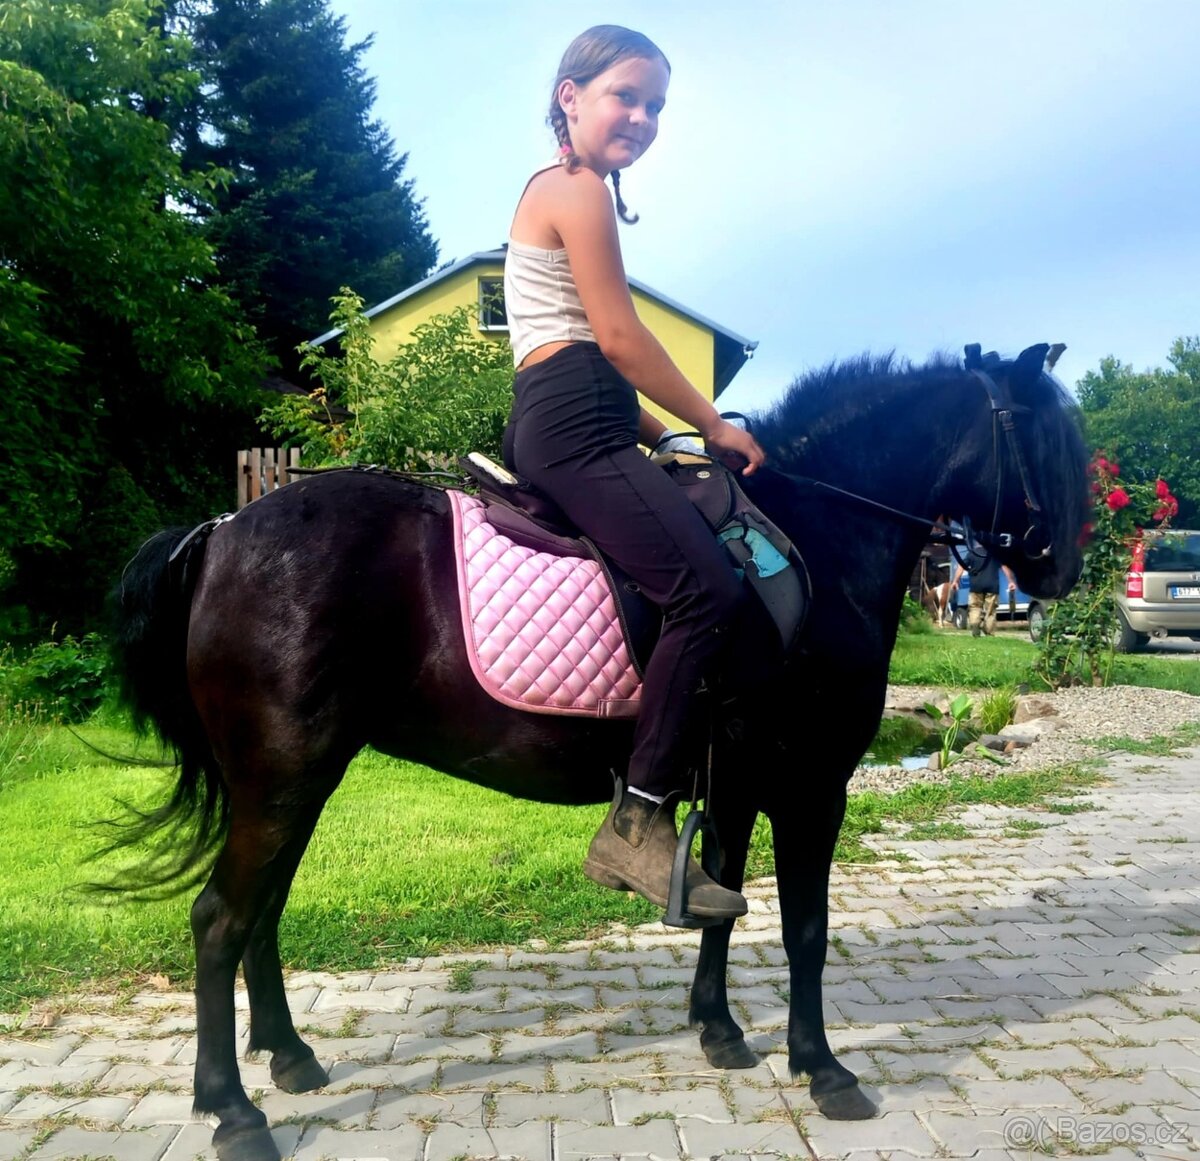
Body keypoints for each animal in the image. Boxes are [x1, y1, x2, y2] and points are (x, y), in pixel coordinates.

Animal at [112, 342, 1088, 1161]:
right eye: (1050, 437)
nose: (1064, 569)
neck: (817, 535)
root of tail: (222, 531)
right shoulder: (812, 784)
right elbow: (804, 929)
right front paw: (824, 1068)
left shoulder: (736, 783)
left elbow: (722, 904)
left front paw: (720, 1030)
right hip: (283, 778)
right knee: (221, 920)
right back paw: (232, 1109)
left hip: (294, 780)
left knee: (262, 915)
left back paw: (289, 1056)